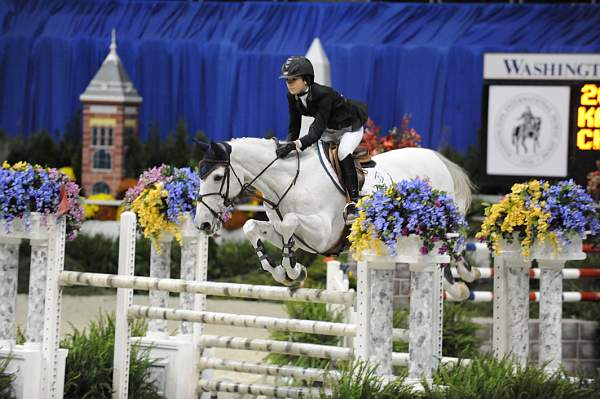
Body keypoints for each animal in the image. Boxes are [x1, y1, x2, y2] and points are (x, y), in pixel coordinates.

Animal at [195, 139, 472, 290]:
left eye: (217, 177)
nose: (203, 224)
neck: (288, 182)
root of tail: (437, 157)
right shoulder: (301, 238)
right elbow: (252, 227)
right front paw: (282, 272)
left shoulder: (323, 235)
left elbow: (289, 223)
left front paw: (292, 270)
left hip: (437, 216)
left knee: (454, 239)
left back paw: (464, 277)